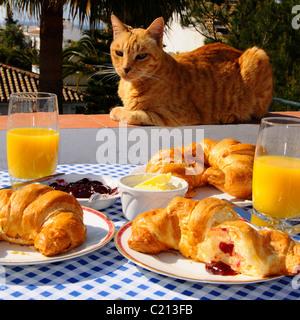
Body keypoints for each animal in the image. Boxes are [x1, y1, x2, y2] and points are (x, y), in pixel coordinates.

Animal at [110, 14, 274, 126]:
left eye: (142, 56)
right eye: (119, 53)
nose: (125, 69)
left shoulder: (172, 117)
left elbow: (134, 114)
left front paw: (117, 111)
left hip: (258, 54)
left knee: (255, 114)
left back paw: (229, 117)